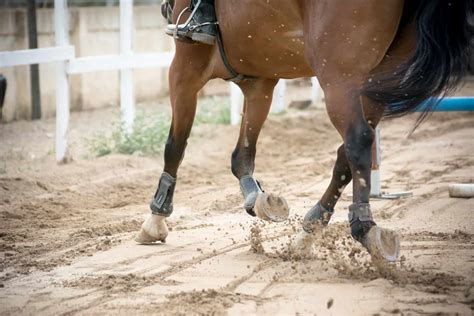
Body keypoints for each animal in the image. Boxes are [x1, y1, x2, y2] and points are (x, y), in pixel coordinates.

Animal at [135, 0, 472, 260]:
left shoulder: (185, 67)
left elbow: (175, 146)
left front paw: (155, 219)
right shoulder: (260, 81)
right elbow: (242, 155)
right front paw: (258, 199)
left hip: (339, 76)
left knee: (357, 141)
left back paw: (363, 227)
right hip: (377, 79)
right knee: (346, 154)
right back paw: (309, 230)